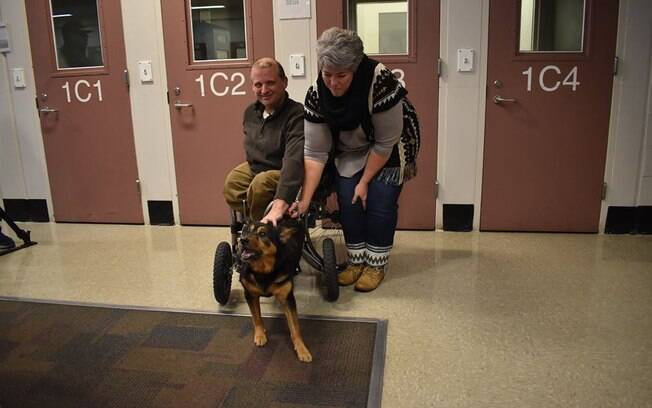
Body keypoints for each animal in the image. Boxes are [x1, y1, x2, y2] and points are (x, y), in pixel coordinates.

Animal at [238, 218, 312, 362]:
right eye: (245, 230)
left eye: (262, 234)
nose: (242, 240)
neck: (264, 272)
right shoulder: (250, 294)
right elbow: (256, 317)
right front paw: (260, 335)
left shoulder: (288, 298)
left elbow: (295, 327)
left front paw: (302, 349)